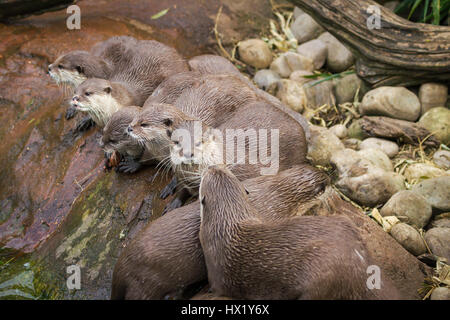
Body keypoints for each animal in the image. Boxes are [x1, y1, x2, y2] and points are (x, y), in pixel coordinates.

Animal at [200, 165, 398, 300]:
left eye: (206, 176)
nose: (211, 166)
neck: (226, 225)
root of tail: (363, 261)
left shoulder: (217, 276)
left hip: (321, 281)